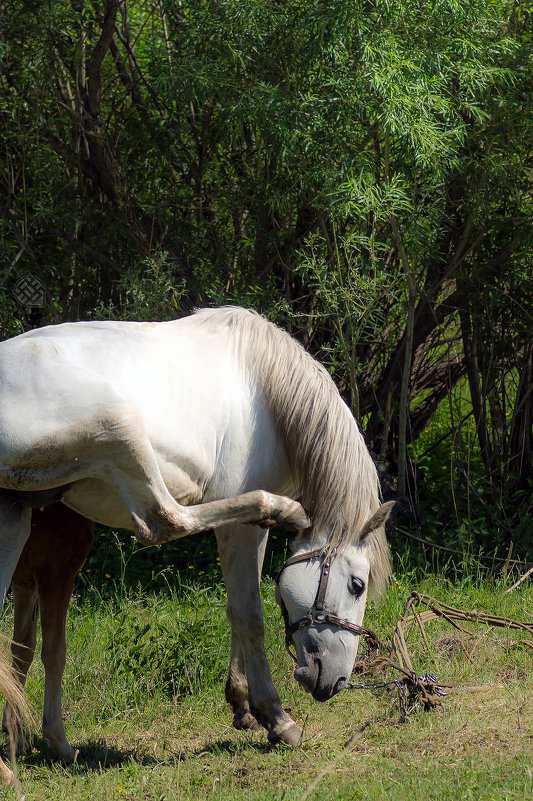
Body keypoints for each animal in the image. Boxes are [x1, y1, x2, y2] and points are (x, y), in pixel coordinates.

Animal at [3, 506, 93, 764]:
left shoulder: (24, 581)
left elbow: (22, 650)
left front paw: (16, 735)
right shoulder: (56, 574)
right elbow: (55, 654)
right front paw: (58, 740)